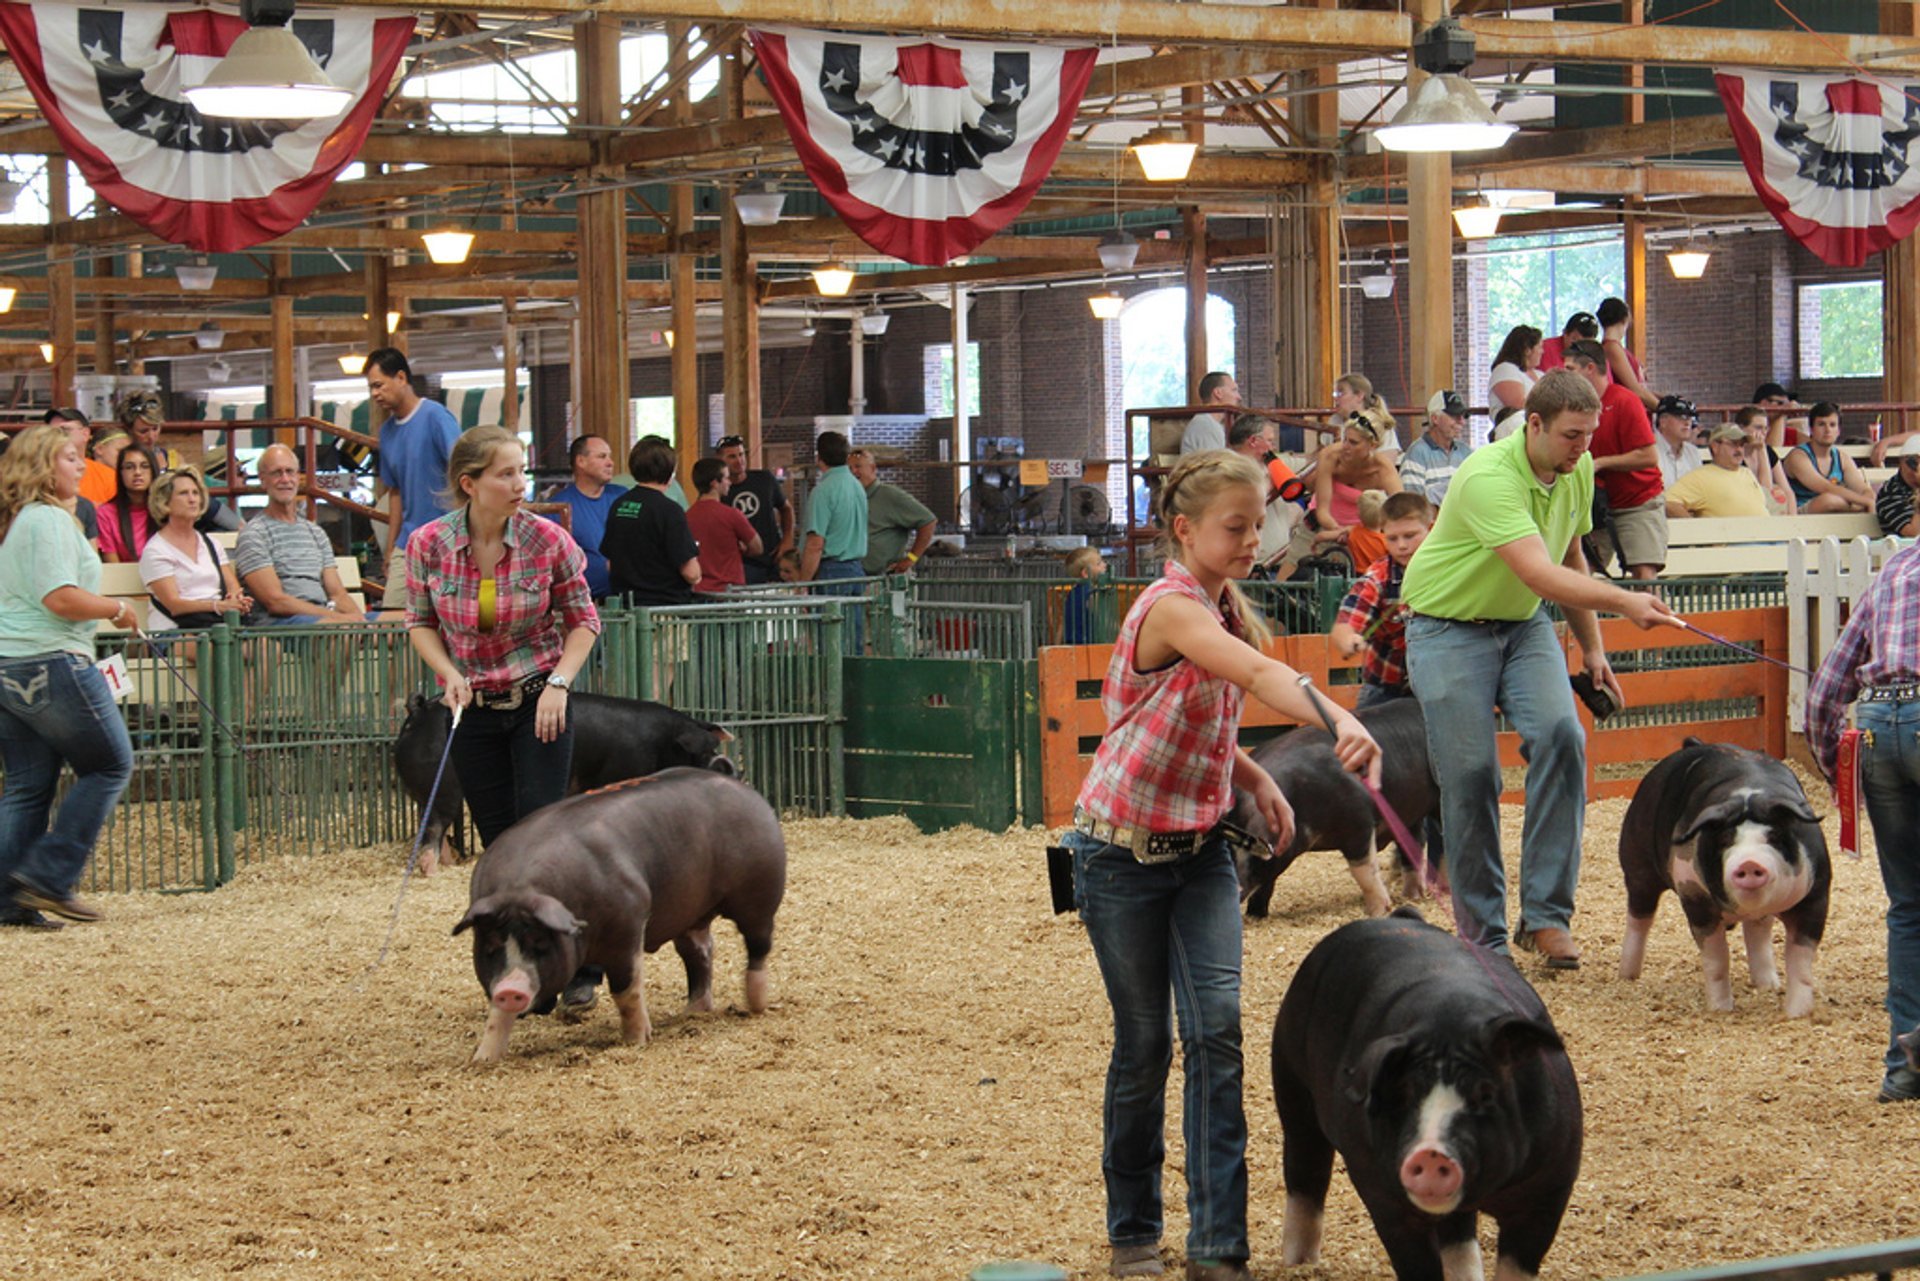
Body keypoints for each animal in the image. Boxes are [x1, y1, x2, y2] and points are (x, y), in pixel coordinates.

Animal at [395, 691, 733, 871]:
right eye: (704, 752)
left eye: (713, 747)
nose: (726, 764)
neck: (663, 742)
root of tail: (418, 712)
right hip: (444, 787)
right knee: (434, 826)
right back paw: (432, 869)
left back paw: (450, 863)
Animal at [445, 768, 783, 1067]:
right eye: (491, 947)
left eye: (540, 943)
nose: (509, 989)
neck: (522, 889)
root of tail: (744, 789)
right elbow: (497, 1016)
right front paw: (482, 1060)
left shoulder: (629, 924)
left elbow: (626, 991)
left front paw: (637, 1040)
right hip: (691, 915)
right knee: (700, 952)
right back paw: (693, 1013)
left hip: (759, 896)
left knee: (758, 947)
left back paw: (756, 1004)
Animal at [1228, 695, 1443, 918]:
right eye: (1228, 847)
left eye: (1258, 849)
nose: (1237, 889)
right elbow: (1267, 883)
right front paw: (1255, 914)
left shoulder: (1360, 823)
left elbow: (1364, 871)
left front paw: (1378, 911)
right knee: (1414, 843)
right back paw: (1413, 896)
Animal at [1267, 910, 1582, 1281]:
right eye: (1404, 1093)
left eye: (1485, 1094)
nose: (1431, 1152)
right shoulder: (1383, 1195)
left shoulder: (1550, 1189)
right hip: (1290, 1077)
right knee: (1305, 1170)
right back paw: (1299, 1263)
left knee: (1458, 1231)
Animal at [1620, 741, 1827, 1021]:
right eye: (1725, 840)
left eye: (1774, 836)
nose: (1749, 863)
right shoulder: (1694, 896)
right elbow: (1717, 958)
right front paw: (1721, 1010)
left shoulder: (1816, 896)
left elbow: (1800, 961)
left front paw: (1797, 1014)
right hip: (1637, 865)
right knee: (1638, 919)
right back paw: (1627, 976)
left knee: (1758, 932)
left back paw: (1768, 984)